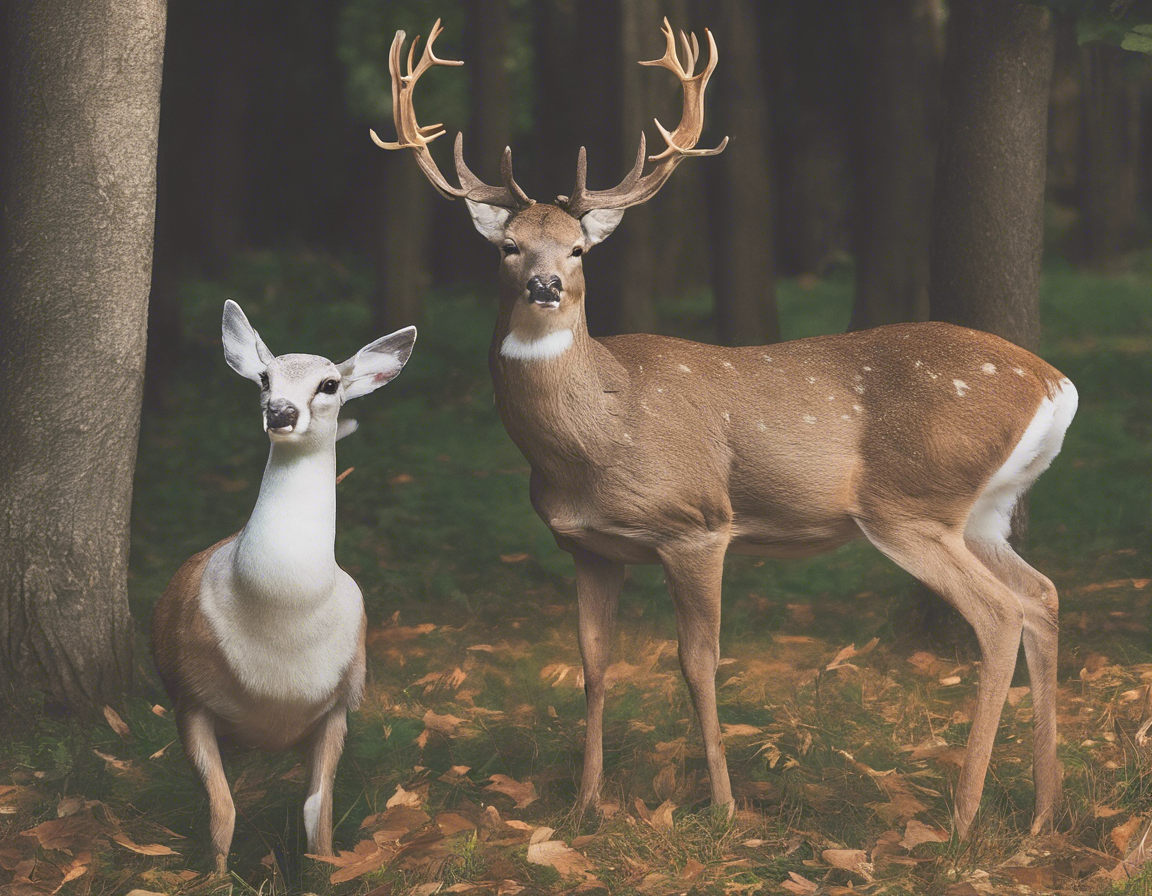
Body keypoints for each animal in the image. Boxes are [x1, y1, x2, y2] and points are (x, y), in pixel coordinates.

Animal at [150, 299, 417, 866]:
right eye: (265, 377)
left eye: (330, 384)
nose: (280, 412)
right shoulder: (189, 697)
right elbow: (222, 813)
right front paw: (216, 877)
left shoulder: (342, 701)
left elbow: (319, 815)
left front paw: (323, 871)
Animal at [373, 17, 1073, 833]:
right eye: (509, 246)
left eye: (578, 250)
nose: (544, 285)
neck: (589, 443)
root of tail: (1054, 382)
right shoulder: (586, 546)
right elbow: (593, 664)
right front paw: (584, 806)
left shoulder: (698, 524)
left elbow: (697, 663)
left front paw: (724, 809)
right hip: (982, 509)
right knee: (1041, 595)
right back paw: (1041, 813)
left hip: (913, 503)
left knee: (998, 615)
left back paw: (961, 821)